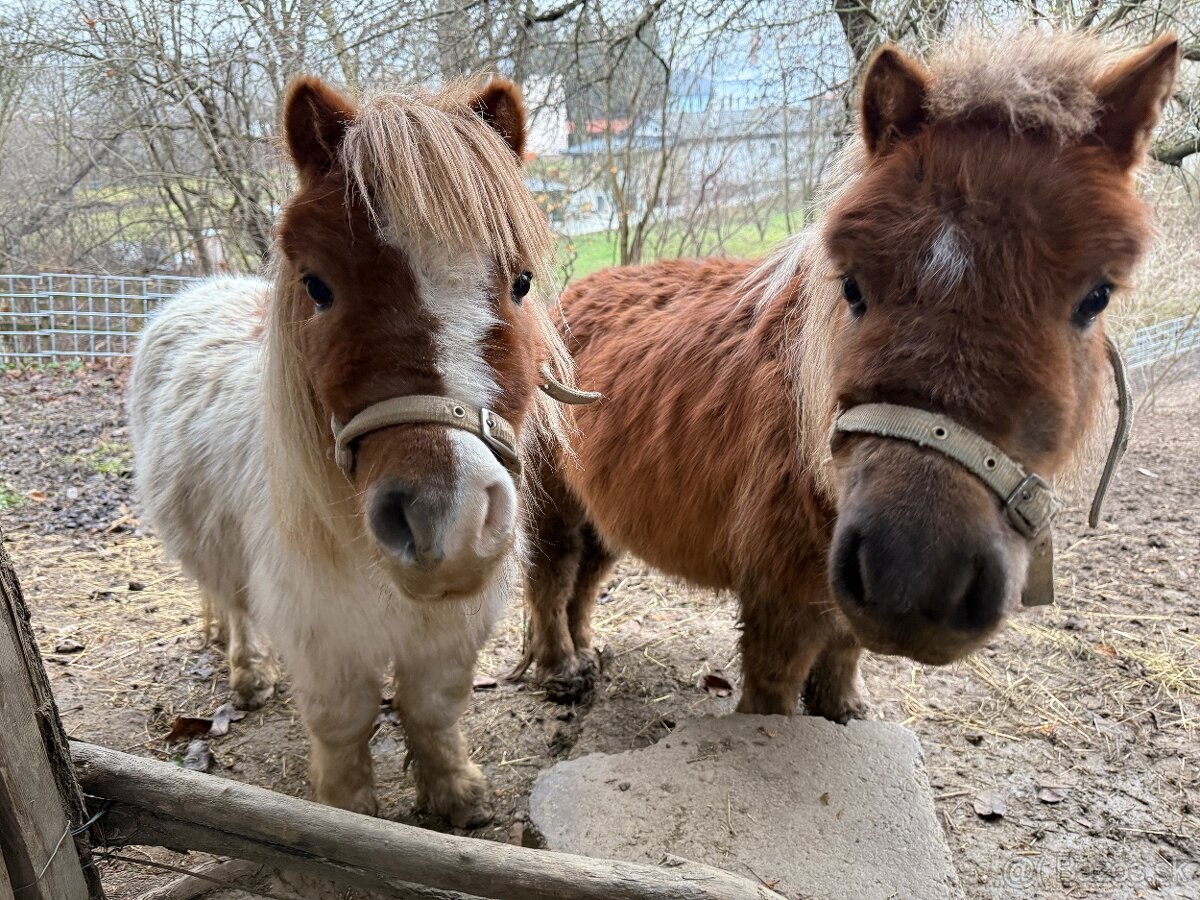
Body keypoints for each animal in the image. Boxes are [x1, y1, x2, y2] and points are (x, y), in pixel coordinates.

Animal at [131, 77, 571, 825]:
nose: (447, 522)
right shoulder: (322, 636)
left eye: (521, 282)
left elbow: (431, 708)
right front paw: (345, 810)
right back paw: (244, 670)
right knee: (231, 602)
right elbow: (345, 723)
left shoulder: (450, 630)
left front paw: (455, 795)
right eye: (317, 284)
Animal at [520, 33, 1176, 720]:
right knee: (550, 577)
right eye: (853, 287)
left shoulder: (839, 601)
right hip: (553, 503)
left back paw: (587, 654)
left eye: (1096, 297)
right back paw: (560, 668)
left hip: (601, 511)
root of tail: (571, 296)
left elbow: (843, 659)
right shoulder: (778, 606)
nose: (914, 577)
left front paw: (843, 710)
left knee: (584, 580)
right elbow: (772, 700)